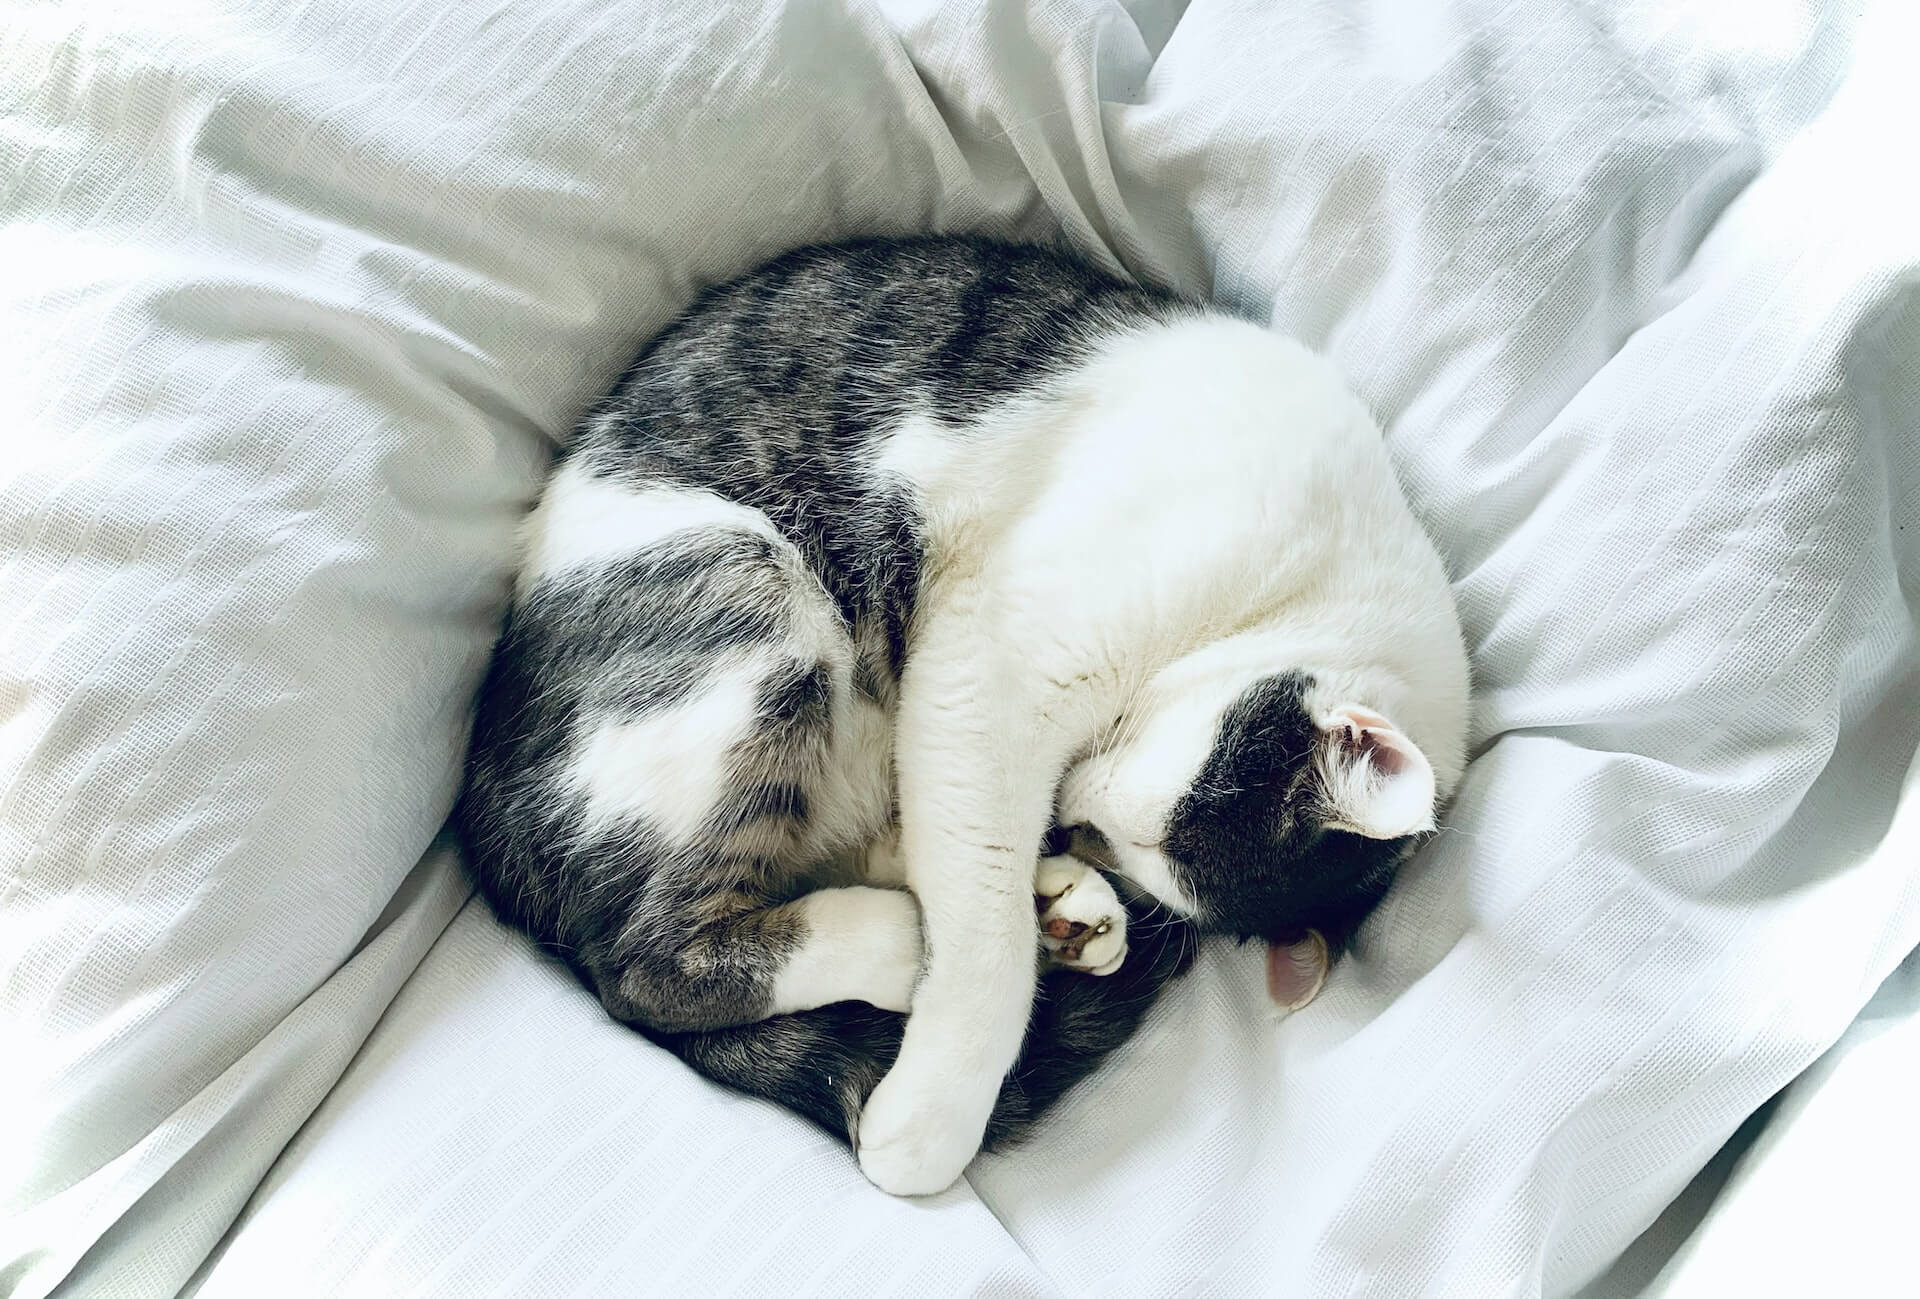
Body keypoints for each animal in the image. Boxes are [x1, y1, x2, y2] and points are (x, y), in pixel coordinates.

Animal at [456, 236, 1474, 1197]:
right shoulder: (996, 660)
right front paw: (934, 1114)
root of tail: (482, 799)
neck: (1303, 586)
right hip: (750, 603)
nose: (1078, 821)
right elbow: (981, 916)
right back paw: (907, 938)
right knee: (645, 963)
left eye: (1138, 849)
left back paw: (1056, 911)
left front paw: (1052, 891)